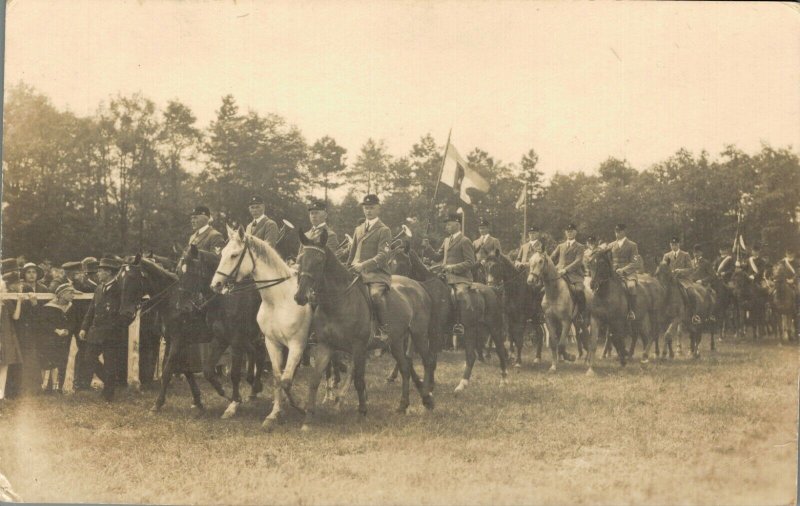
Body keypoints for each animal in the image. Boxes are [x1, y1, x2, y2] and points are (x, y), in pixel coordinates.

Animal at [211, 225, 310, 430]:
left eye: (234, 255)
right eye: (222, 253)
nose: (216, 284)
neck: (280, 300)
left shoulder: (297, 344)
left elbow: (285, 379)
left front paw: (299, 408)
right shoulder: (271, 343)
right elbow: (278, 377)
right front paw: (274, 413)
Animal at [294, 229, 434, 430]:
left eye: (319, 261)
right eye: (300, 259)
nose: (300, 296)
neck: (338, 302)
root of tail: (418, 286)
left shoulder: (358, 347)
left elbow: (359, 380)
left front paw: (361, 411)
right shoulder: (325, 346)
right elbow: (314, 379)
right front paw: (309, 418)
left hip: (419, 334)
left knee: (427, 361)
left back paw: (427, 399)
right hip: (395, 341)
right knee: (405, 367)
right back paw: (402, 405)